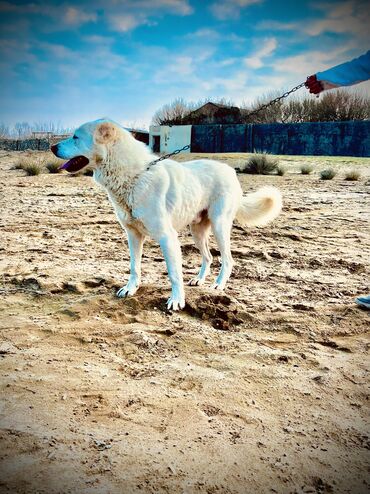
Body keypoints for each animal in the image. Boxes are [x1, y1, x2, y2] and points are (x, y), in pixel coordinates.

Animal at [52, 118, 282, 308]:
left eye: (75, 137)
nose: (52, 146)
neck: (133, 175)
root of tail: (231, 171)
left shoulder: (167, 237)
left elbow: (174, 273)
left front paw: (177, 301)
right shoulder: (133, 235)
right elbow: (134, 267)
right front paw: (130, 289)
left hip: (219, 226)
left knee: (227, 259)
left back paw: (218, 284)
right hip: (197, 230)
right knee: (208, 257)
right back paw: (199, 280)